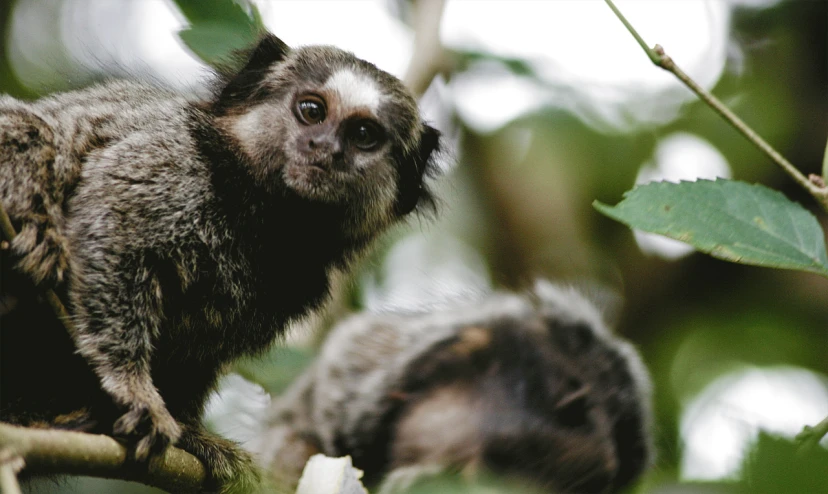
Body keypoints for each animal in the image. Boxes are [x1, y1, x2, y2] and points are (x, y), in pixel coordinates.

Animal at [0, 32, 440, 492]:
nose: (326, 148)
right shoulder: (175, 162)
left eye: (364, 135)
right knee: (31, 129)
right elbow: (115, 217)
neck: (263, 216)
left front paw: (192, 436)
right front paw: (131, 387)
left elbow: (199, 354)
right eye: (312, 110)